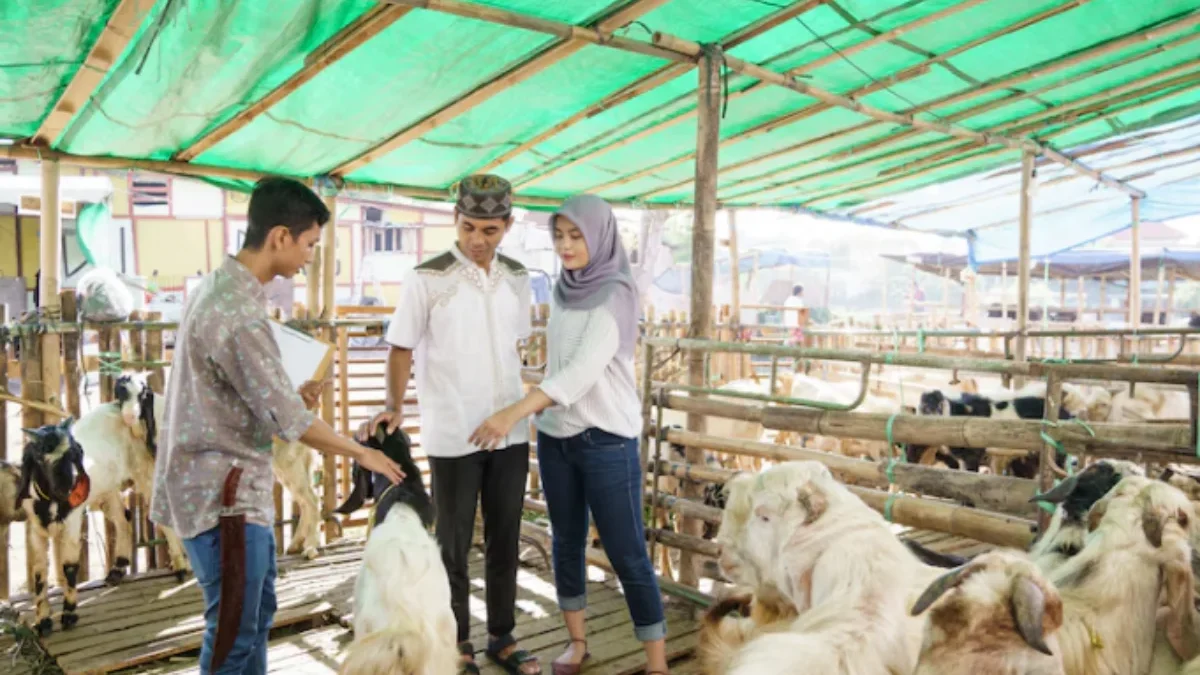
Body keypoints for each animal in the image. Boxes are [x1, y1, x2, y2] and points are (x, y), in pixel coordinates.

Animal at [14, 417, 90, 634]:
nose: (65, 488)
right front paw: (43, 620)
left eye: (72, 453)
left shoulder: (72, 526)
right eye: (39, 457)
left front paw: (69, 614)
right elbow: (40, 571)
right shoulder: (35, 532)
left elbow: (69, 567)